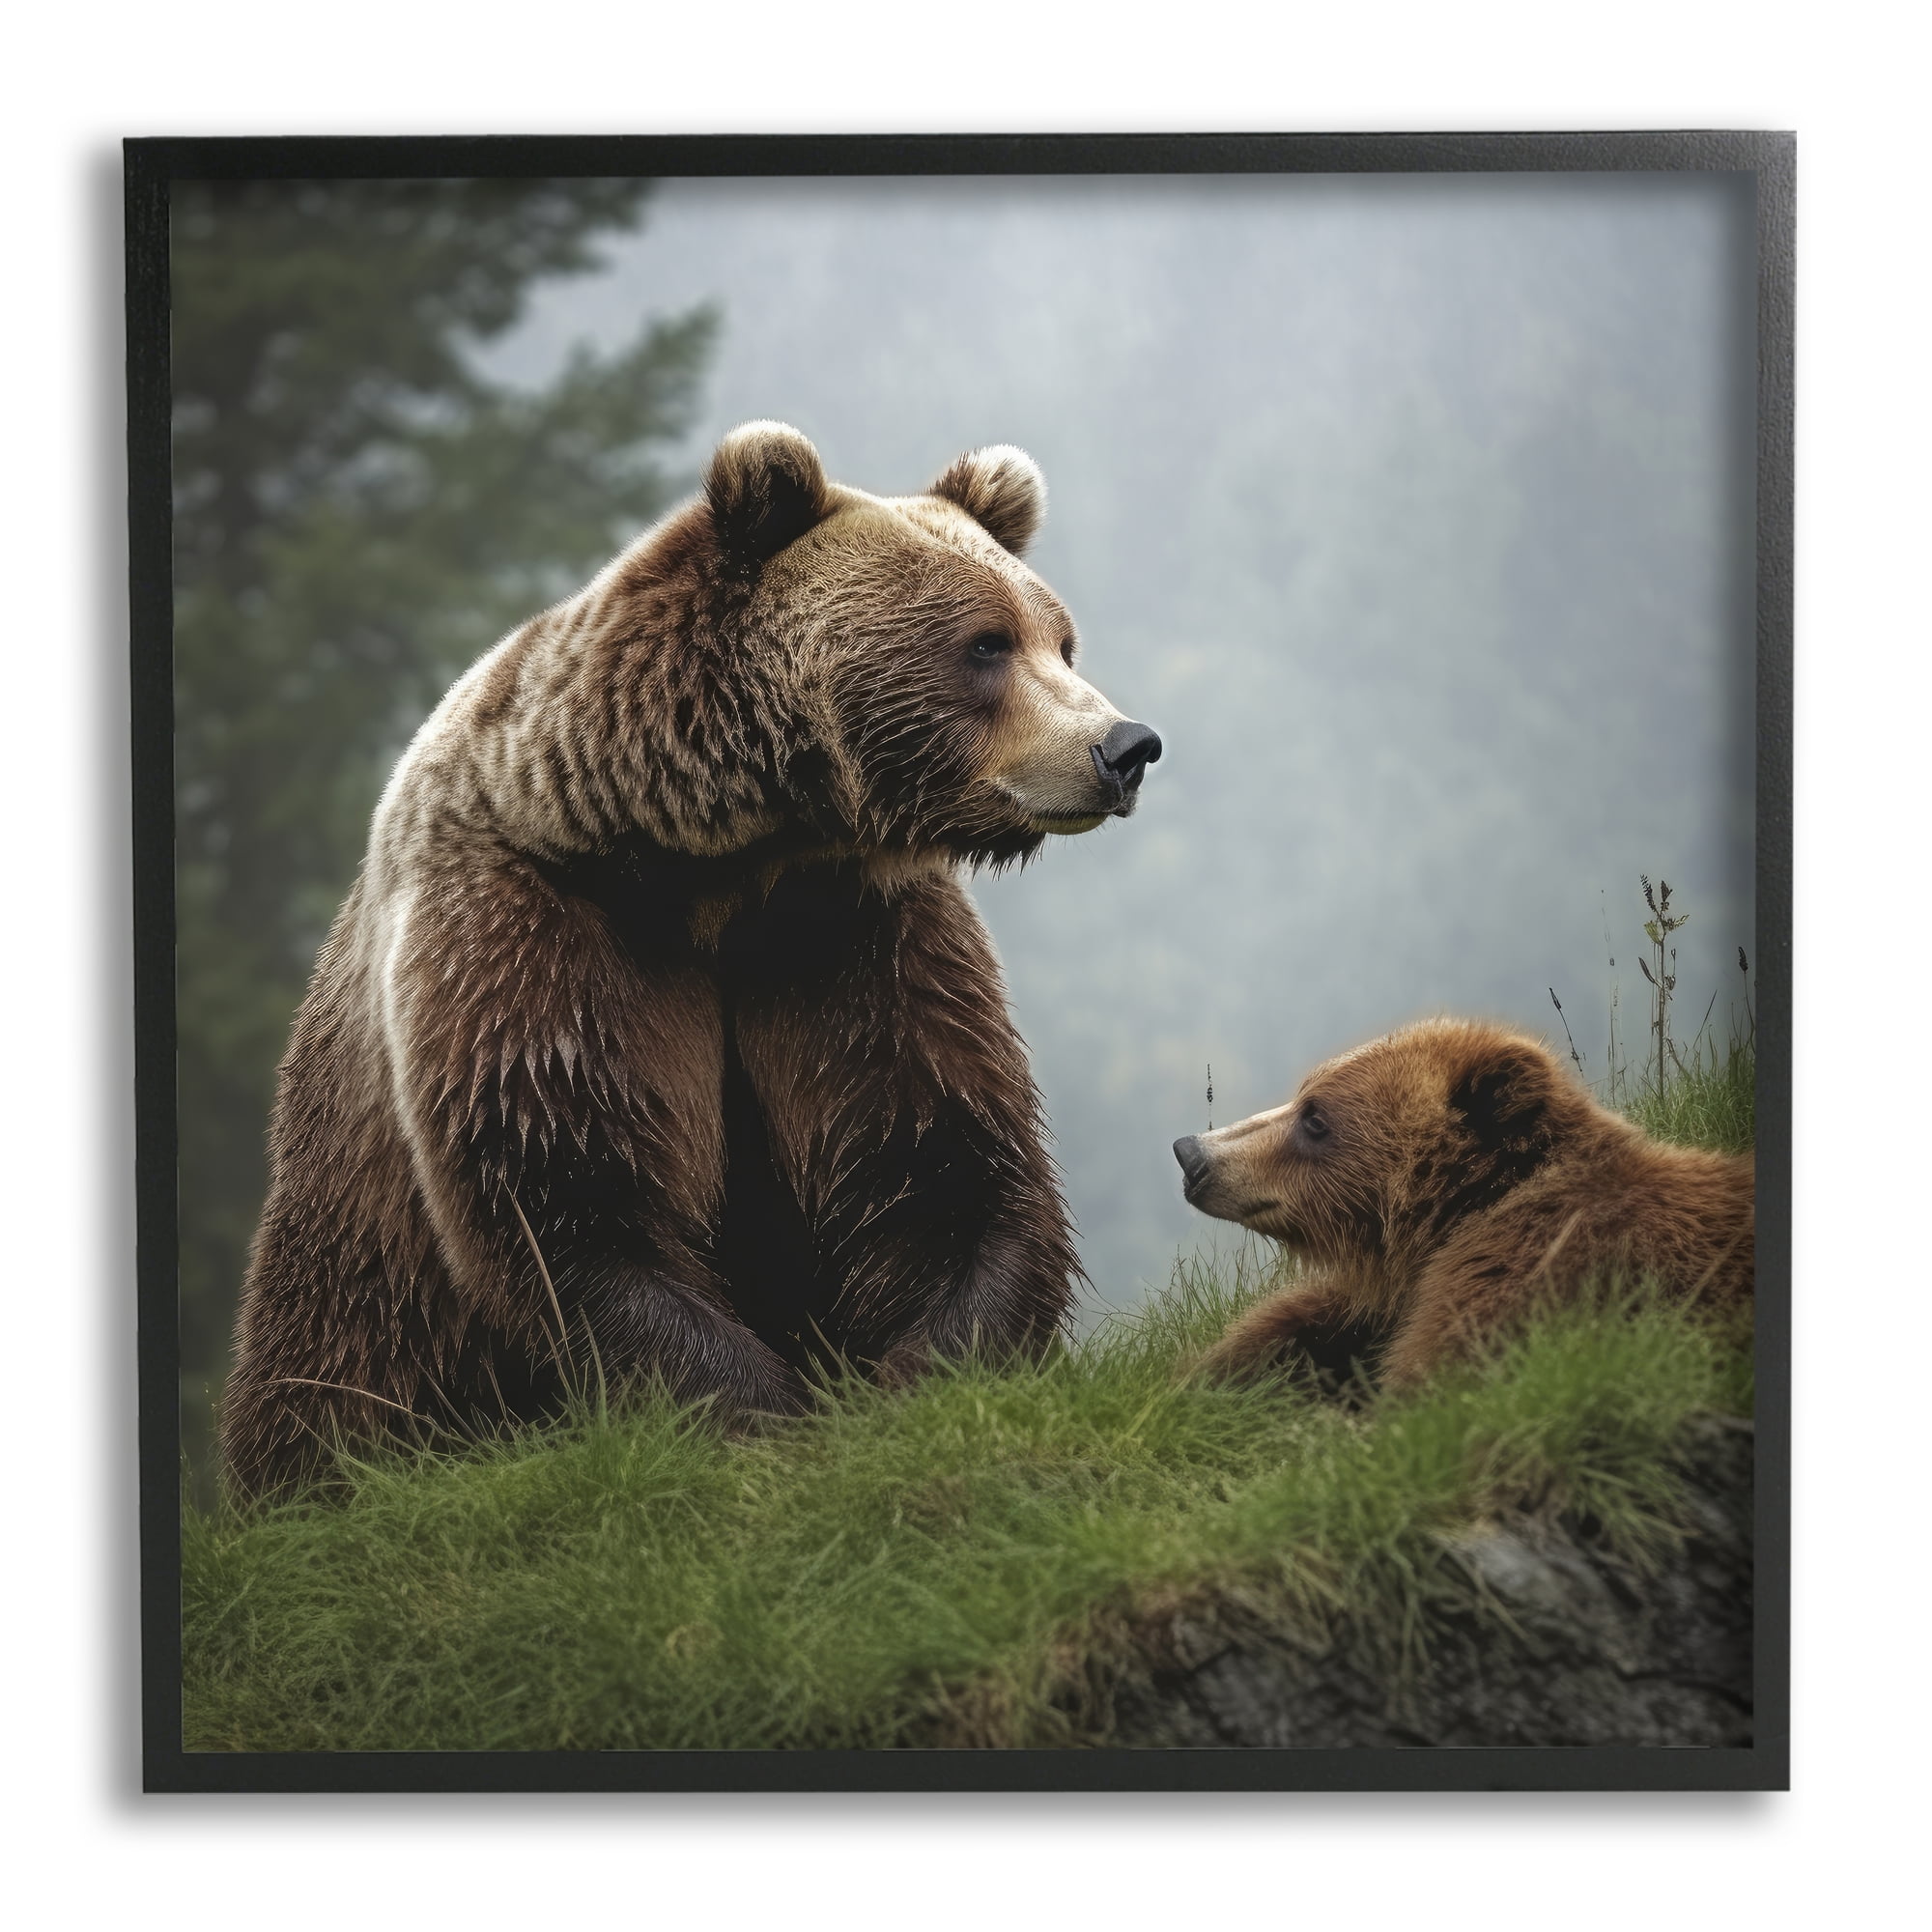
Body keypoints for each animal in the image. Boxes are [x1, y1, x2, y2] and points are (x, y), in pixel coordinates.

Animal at [220, 422, 1163, 1497]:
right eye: (985, 643)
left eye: (1059, 638)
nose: (1123, 745)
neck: (719, 860)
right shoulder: (534, 924)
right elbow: (571, 1194)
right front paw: (767, 1416)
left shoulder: (844, 934)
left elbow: (932, 1155)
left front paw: (927, 1382)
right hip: (348, 1308)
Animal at [1171, 1018, 1751, 1391]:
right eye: (1302, 1095)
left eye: (1316, 1118)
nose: (1192, 1154)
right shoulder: (1390, 1297)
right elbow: (1294, 1328)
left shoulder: (1522, 1273)